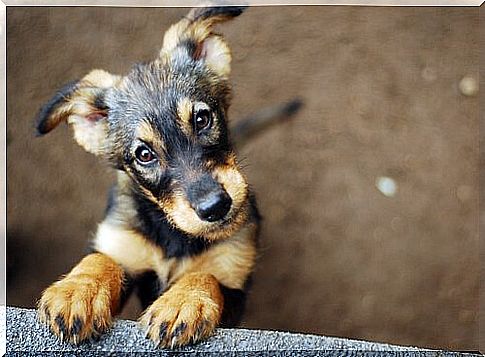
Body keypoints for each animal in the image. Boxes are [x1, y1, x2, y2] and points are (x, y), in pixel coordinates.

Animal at [35, 4, 260, 346]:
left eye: (202, 119)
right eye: (144, 154)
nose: (216, 207)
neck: (174, 234)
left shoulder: (234, 283)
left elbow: (205, 275)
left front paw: (182, 303)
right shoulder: (123, 246)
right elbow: (100, 259)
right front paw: (77, 291)